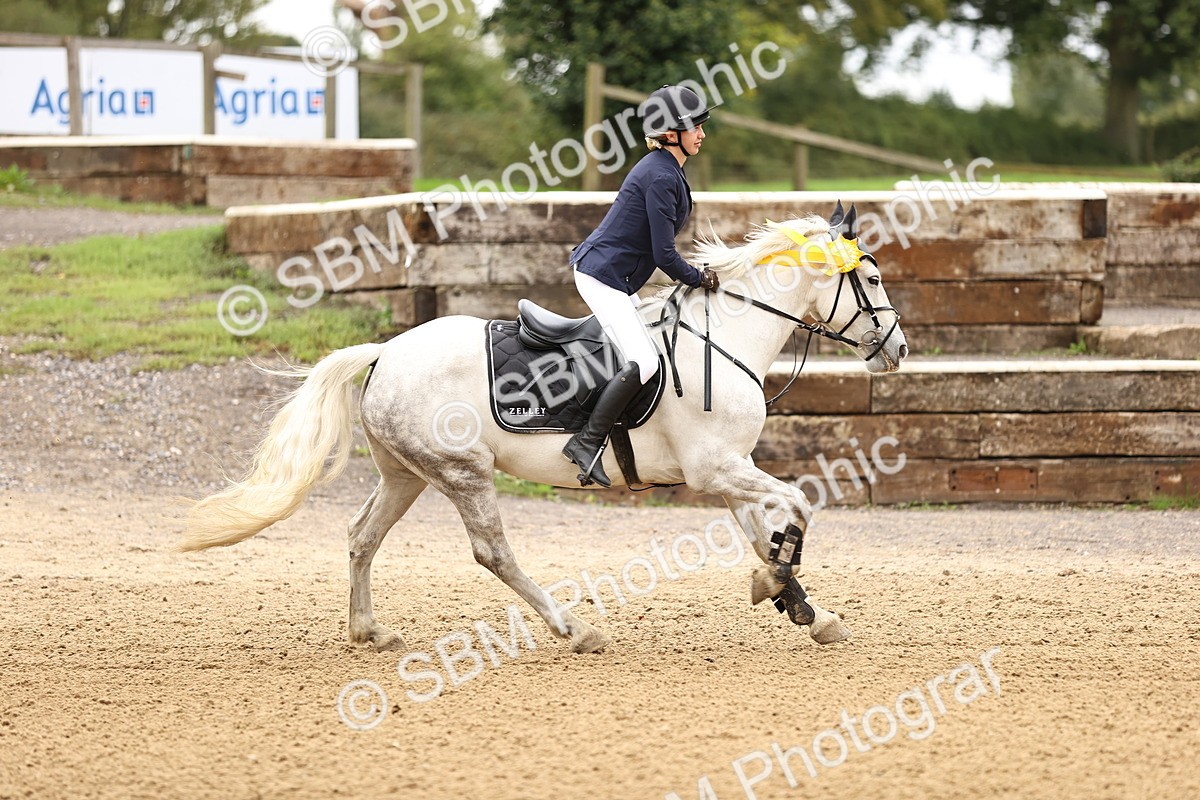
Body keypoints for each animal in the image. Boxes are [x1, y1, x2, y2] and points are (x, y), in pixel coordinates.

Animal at [181, 202, 908, 654]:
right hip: (463, 471)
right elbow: (799, 504)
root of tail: (385, 351)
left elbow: (766, 531)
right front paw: (781, 590)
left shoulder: (729, 469)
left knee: (363, 536)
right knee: (493, 553)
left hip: (406, 475)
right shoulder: (715, 468)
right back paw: (574, 629)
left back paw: (370, 632)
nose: (897, 349)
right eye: (871, 278)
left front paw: (804, 608)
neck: (722, 338)